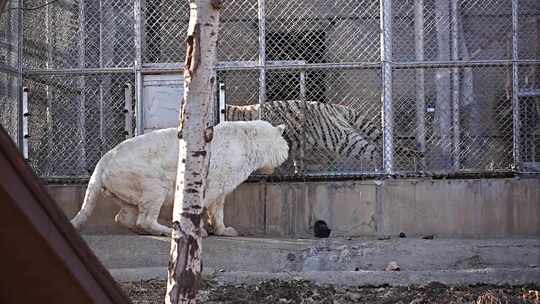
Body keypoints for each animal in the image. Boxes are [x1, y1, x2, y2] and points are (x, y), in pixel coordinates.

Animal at [74, 120, 292, 236]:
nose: (287, 155)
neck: (249, 142)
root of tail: (103, 160)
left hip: (124, 187)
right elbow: (205, 205)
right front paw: (202, 231)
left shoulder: (222, 185)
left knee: (124, 215)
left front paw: (225, 230)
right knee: (145, 216)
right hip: (150, 180)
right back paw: (166, 230)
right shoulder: (214, 180)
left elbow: (218, 209)